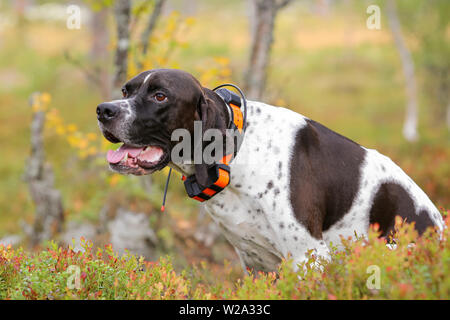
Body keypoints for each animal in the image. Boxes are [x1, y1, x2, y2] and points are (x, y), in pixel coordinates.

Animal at [96, 69, 444, 272]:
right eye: (126, 91)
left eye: (160, 95)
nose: (103, 110)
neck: (238, 155)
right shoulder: (256, 263)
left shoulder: (308, 257)